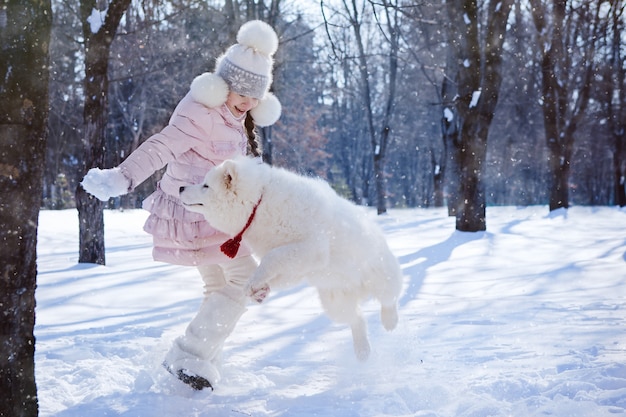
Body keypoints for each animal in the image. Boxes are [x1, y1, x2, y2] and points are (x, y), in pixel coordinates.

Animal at [178, 158, 402, 360]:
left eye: (206, 185)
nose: (180, 187)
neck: (258, 205)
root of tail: (358, 290)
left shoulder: (311, 248)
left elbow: (272, 258)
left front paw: (254, 284)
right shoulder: (298, 265)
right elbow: (275, 271)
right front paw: (259, 290)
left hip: (381, 278)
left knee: (389, 299)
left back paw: (389, 322)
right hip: (335, 303)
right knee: (357, 319)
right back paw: (362, 350)